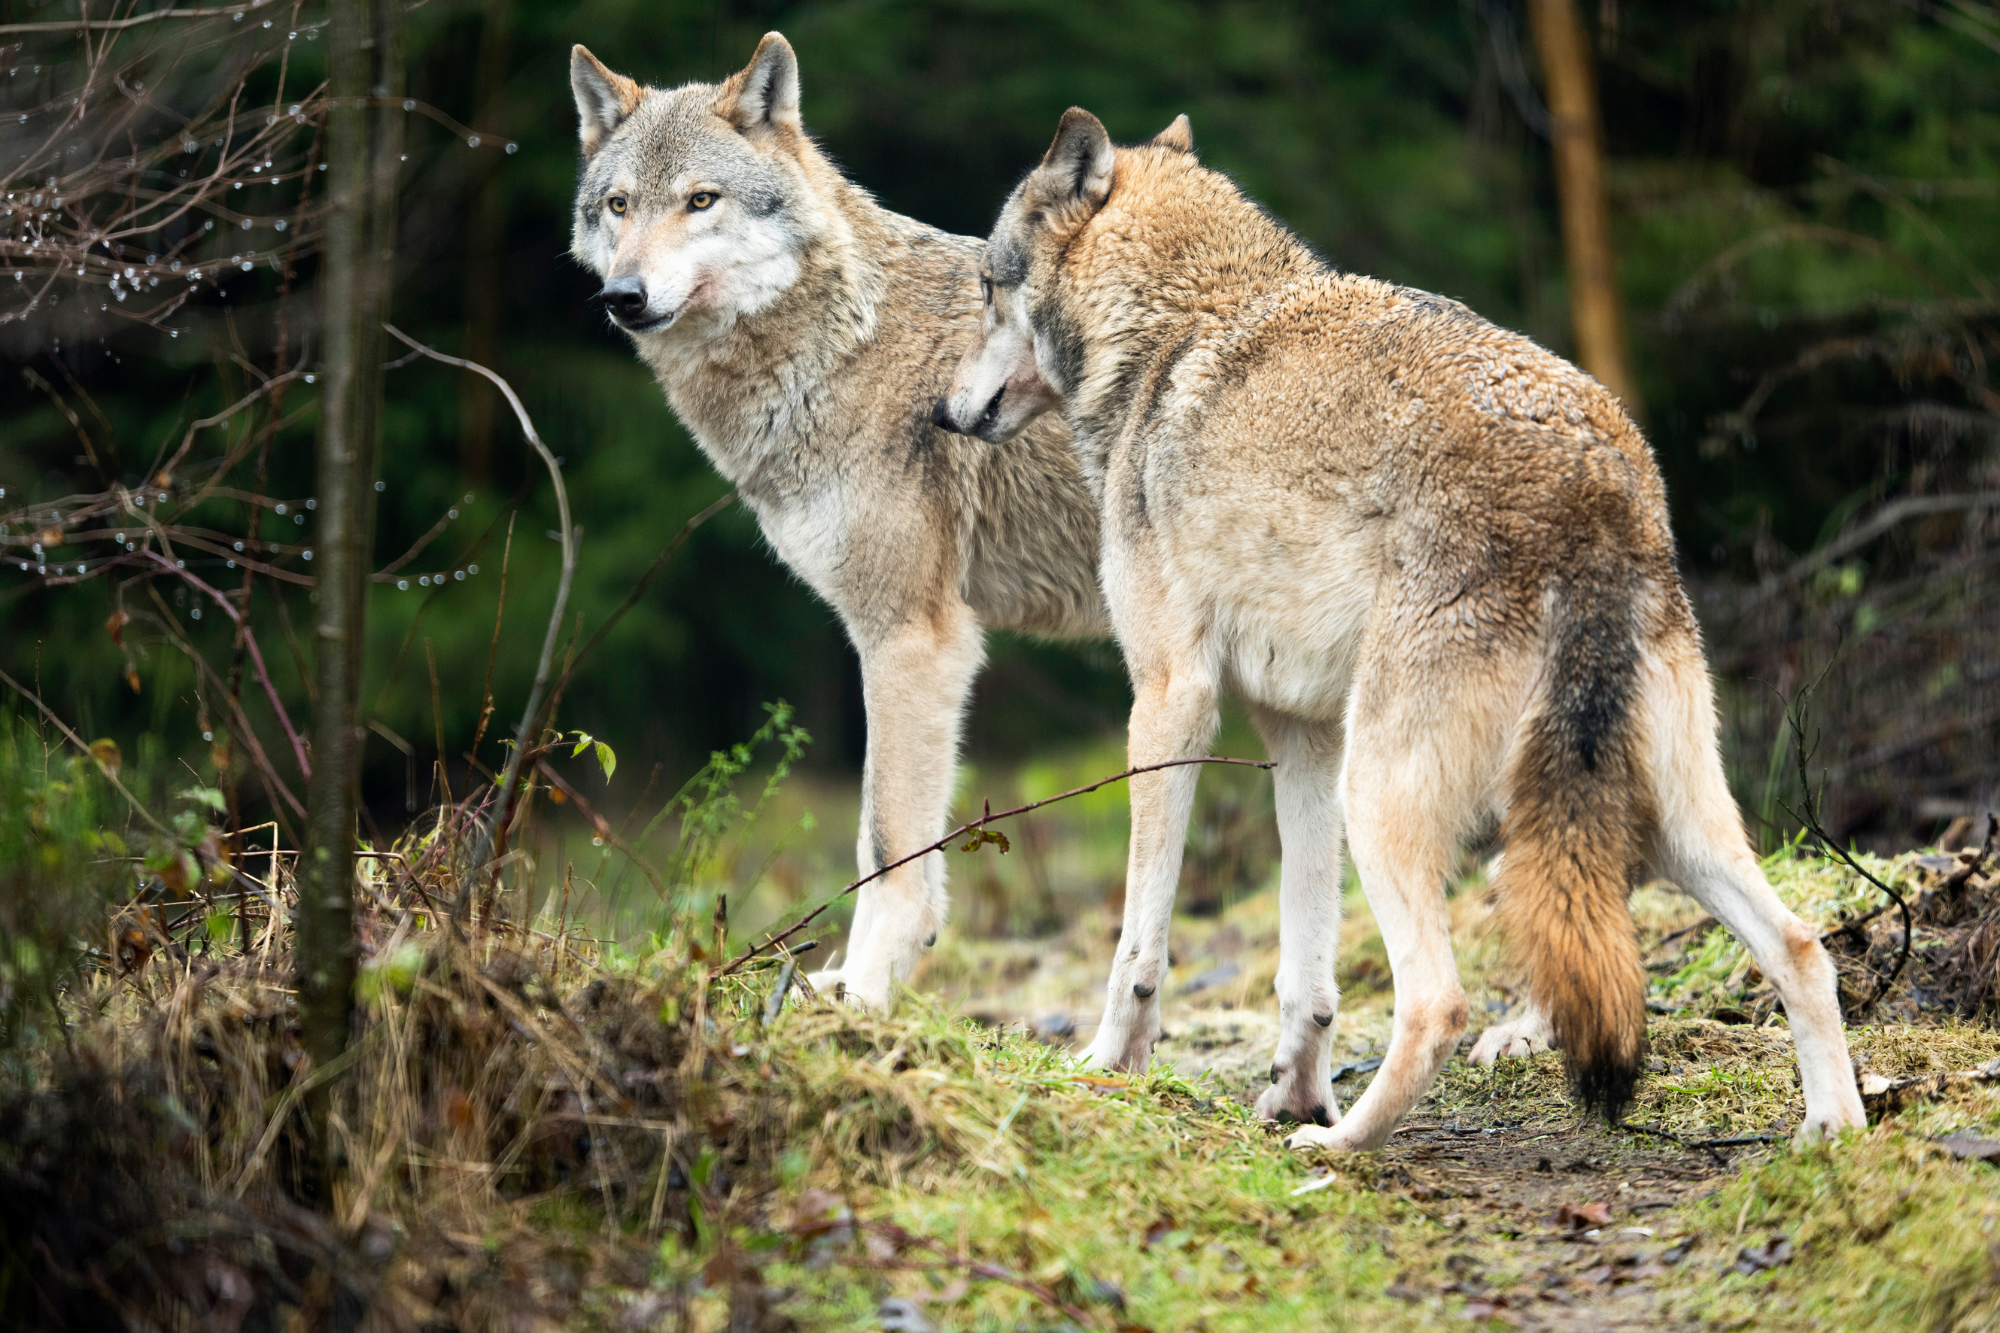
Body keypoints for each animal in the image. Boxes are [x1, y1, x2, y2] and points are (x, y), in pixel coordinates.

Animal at [568, 36, 1112, 1000]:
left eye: (700, 200)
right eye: (620, 206)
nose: (623, 295)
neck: (839, 343)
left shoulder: (913, 638)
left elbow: (888, 842)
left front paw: (863, 990)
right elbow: (885, 841)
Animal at [936, 109, 1872, 1144]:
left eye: (986, 286)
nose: (940, 410)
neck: (1174, 327)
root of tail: (1595, 486)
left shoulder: (1171, 704)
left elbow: (1139, 944)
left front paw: (1110, 1064)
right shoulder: (1300, 740)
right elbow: (1304, 967)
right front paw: (1291, 1090)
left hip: (1387, 795)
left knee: (1437, 1002)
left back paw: (1341, 1144)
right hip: (1653, 814)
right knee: (1799, 944)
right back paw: (1832, 1135)